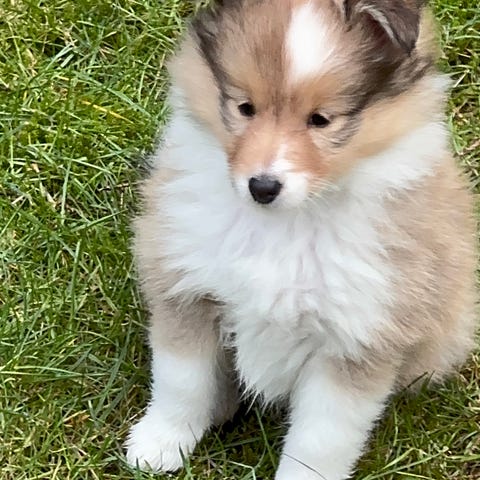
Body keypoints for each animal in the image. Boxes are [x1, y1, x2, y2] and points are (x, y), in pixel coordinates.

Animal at [125, 1, 477, 478]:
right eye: (245, 107)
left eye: (320, 120)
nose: (262, 187)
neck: (284, 225)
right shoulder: (187, 288)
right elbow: (181, 381)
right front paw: (159, 446)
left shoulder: (356, 340)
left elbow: (320, 442)